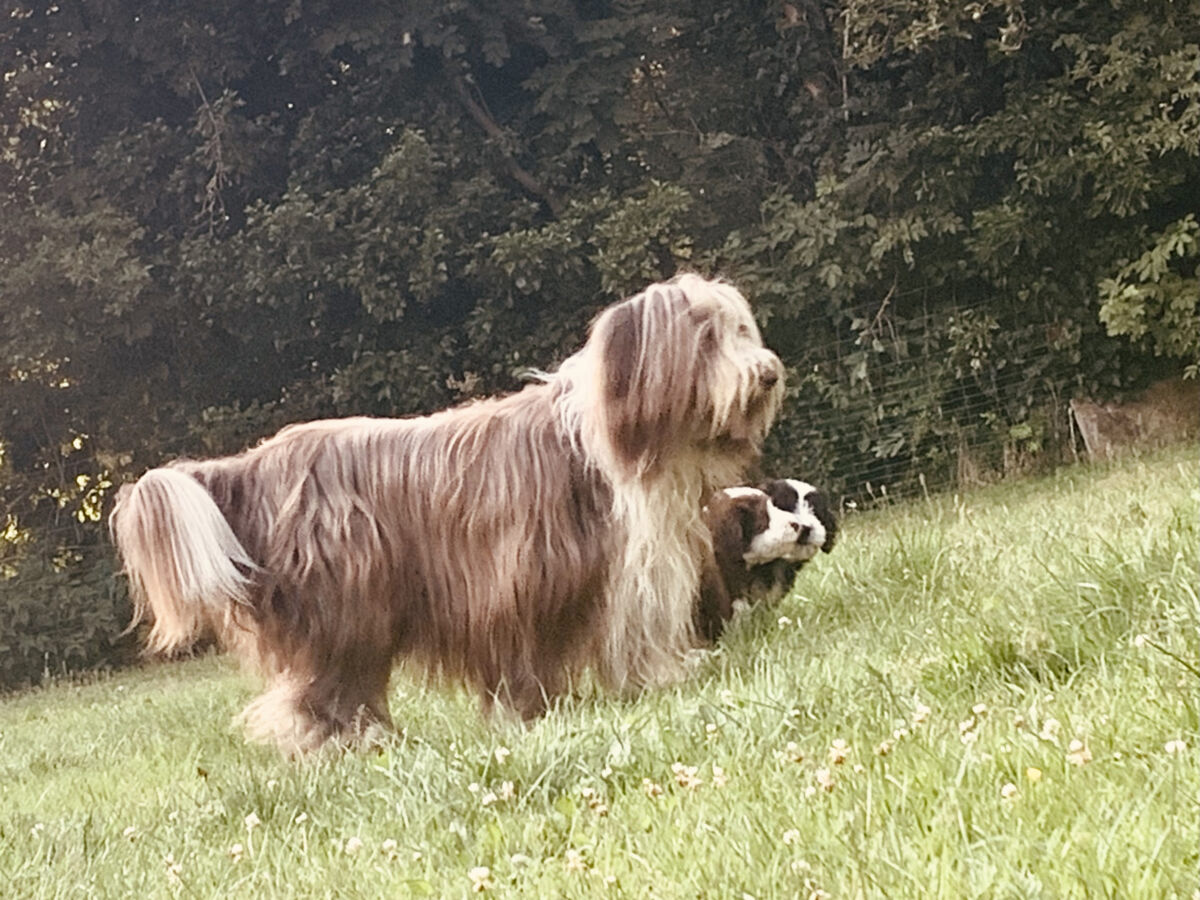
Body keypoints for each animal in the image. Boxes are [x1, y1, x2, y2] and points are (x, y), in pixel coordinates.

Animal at [109, 274, 784, 753]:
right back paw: (355, 744)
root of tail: (256, 462)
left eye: (741, 329)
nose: (770, 374)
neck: (622, 440)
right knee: (323, 690)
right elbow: (526, 661)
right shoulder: (519, 578)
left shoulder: (631, 575)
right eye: (706, 338)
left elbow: (634, 637)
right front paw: (530, 716)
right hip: (349, 606)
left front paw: (659, 678)